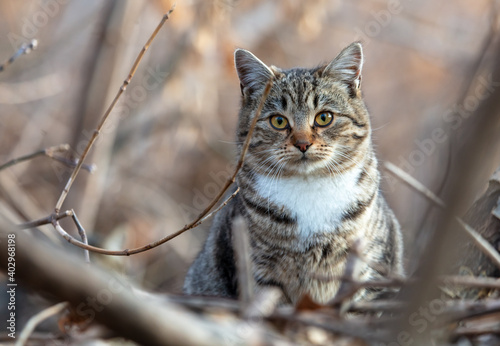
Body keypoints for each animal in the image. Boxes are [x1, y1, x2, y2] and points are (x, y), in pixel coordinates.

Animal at [182, 43, 404, 306]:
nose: (302, 143)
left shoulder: (372, 273)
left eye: (324, 118)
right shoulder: (258, 274)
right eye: (278, 121)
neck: (310, 187)